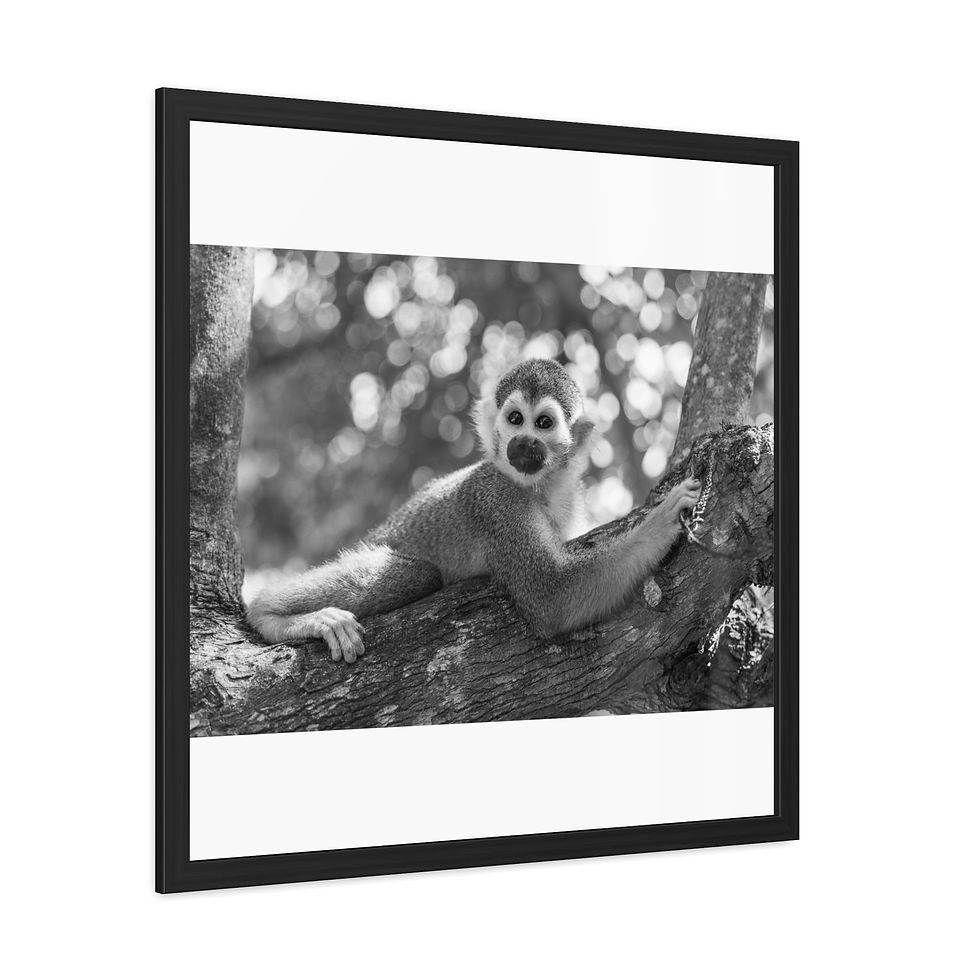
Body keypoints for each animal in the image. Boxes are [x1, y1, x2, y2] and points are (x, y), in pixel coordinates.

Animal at [246, 358, 701, 663]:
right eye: (515, 419)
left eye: (543, 424)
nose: (523, 443)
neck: (537, 486)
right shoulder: (496, 501)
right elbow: (551, 596)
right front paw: (662, 521)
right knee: (418, 574)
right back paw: (270, 613)